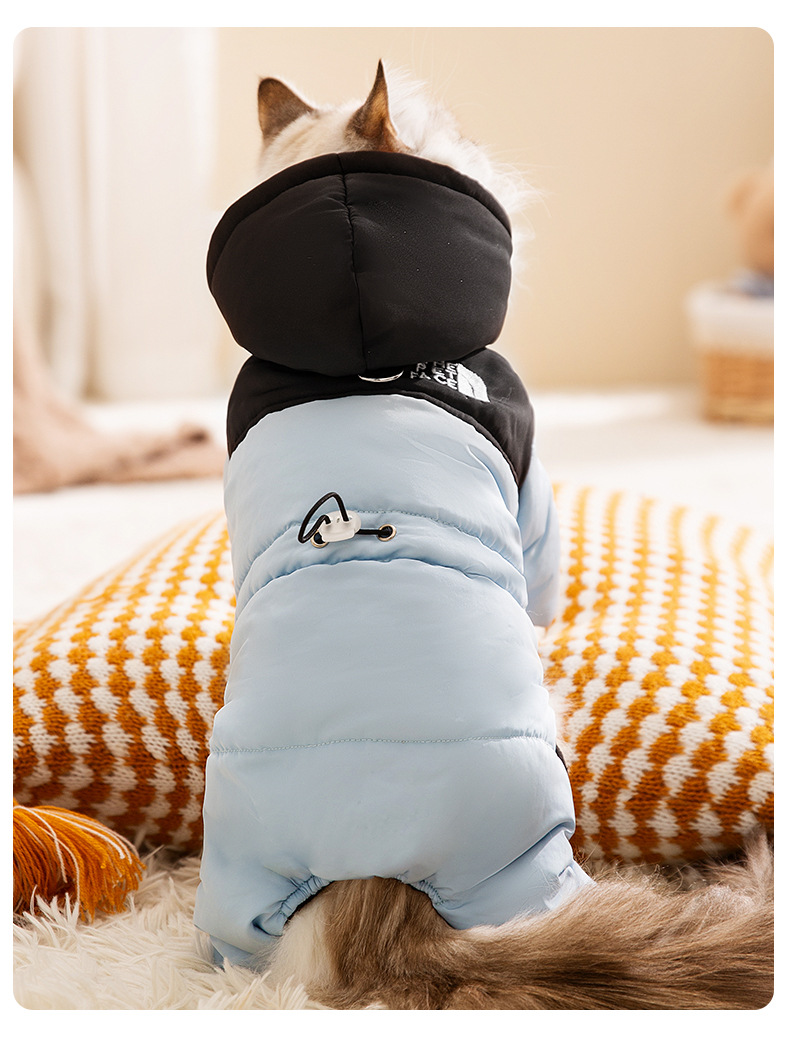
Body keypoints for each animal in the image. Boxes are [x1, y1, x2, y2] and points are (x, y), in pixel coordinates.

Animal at [195, 62, 773, 1009]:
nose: (477, 142)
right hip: (533, 812)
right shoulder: (530, 481)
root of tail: (375, 918)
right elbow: (543, 578)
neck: (353, 345)